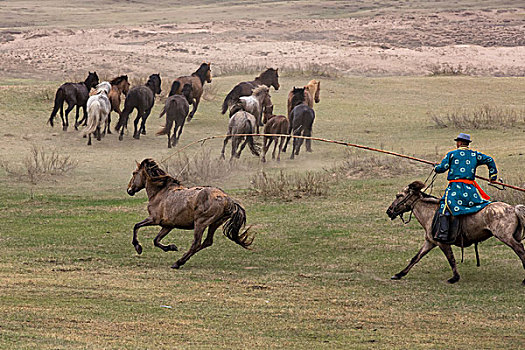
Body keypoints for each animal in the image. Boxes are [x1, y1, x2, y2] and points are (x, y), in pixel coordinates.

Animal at [384, 180, 524, 284]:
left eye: (399, 196)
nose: (389, 211)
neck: (430, 213)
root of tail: (512, 208)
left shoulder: (442, 243)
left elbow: (451, 258)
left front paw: (455, 278)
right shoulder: (430, 242)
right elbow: (416, 258)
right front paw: (399, 274)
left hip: (505, 237)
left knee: (520, 249)